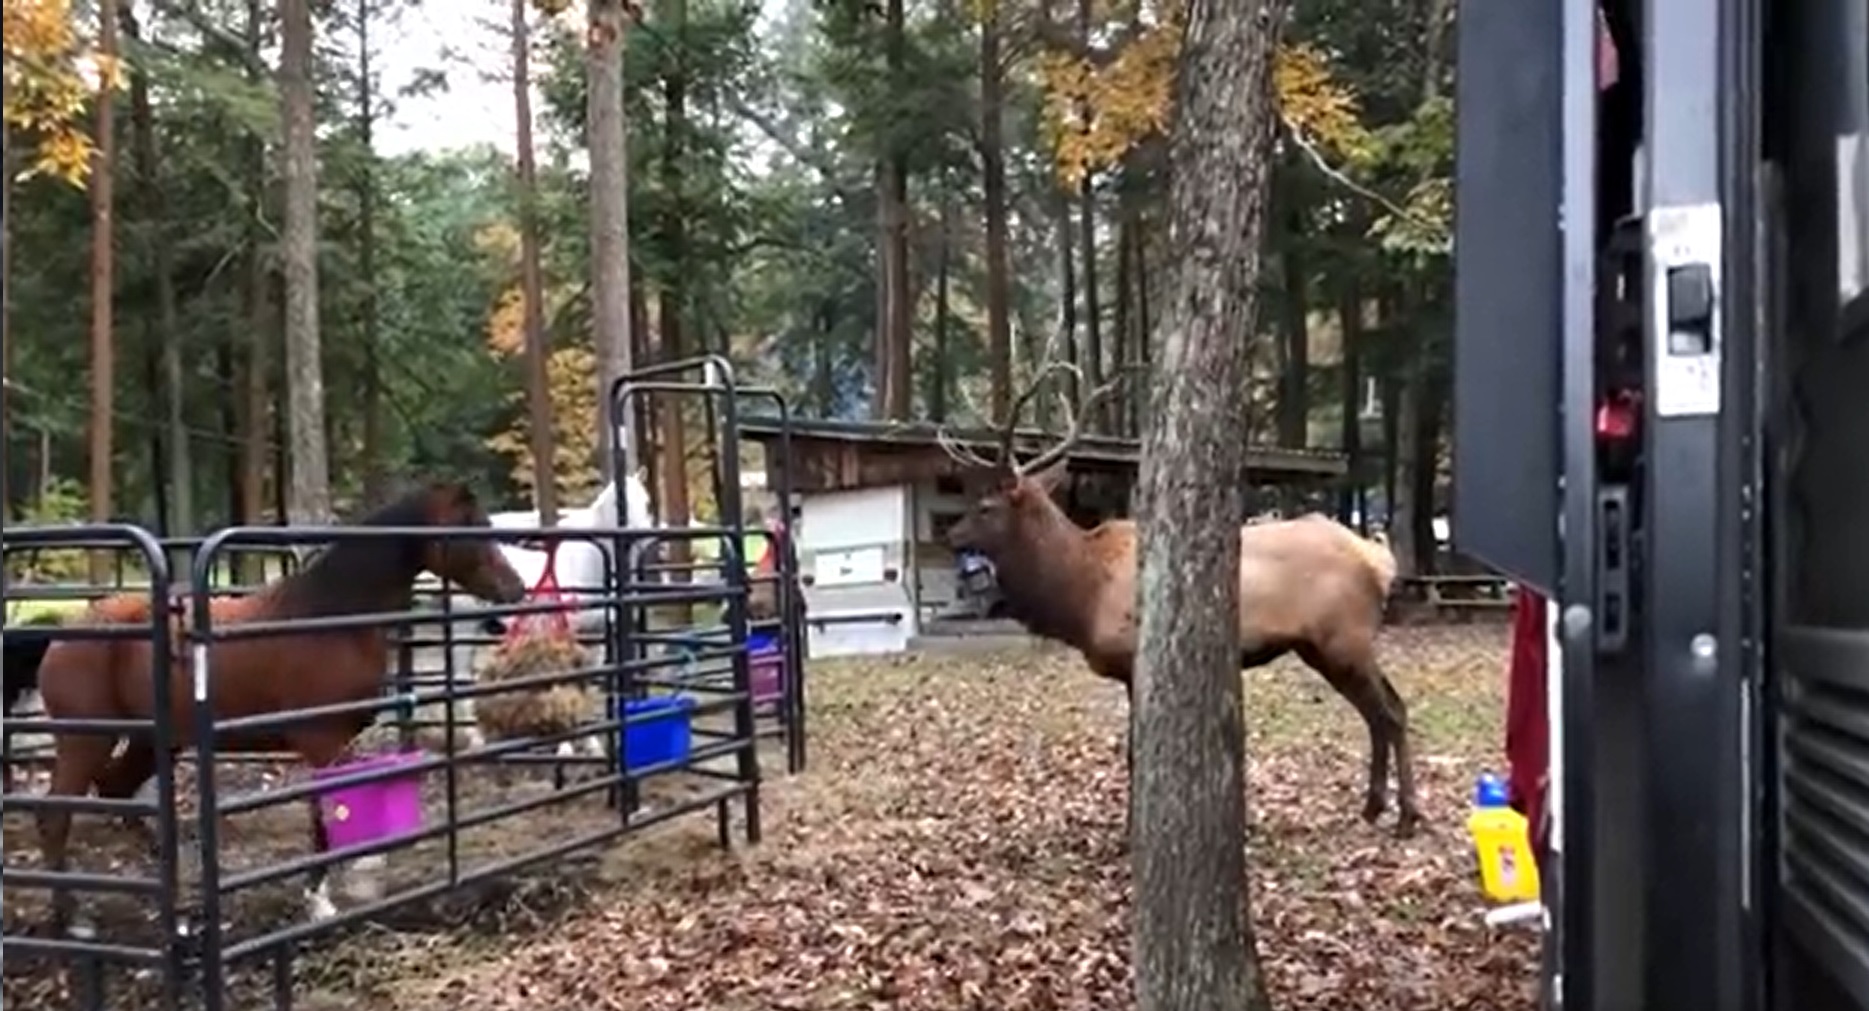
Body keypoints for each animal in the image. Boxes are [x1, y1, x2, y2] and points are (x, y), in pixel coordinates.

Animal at [33, 480, 526, 933]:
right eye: (471, 530)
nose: (516, 590)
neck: (330, 619)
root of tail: (67, 633)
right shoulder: (323, 742)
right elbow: (329, 817)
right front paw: (334, 893)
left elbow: (325, 816)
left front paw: (327, 893)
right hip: (86, 741)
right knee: (56, 815)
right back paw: (72, 917)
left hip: (151, 741)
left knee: (115, 790)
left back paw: (177, 902)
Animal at [938, 363, 1420, 837]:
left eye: (985, 507)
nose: (950, 536)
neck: (1082, 593)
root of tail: (1380, 559)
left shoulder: (1133, 658)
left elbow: (1135, 753)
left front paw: (1131, 833)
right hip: (1319, 647)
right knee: (1381, 711)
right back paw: (1374, 808)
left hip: (1345, 638)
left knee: (1391, 711)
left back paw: (1407, 817)